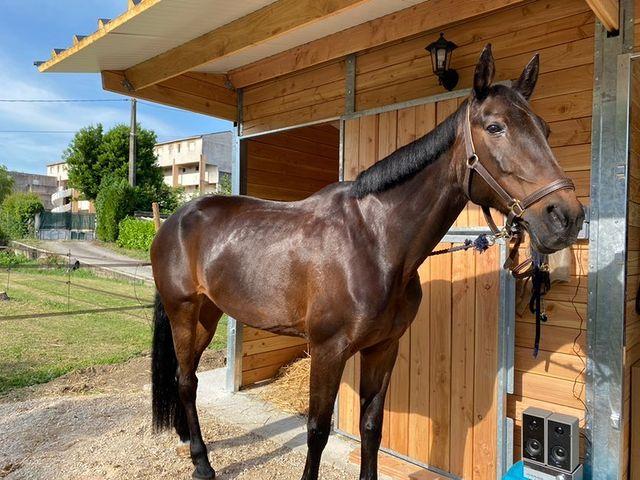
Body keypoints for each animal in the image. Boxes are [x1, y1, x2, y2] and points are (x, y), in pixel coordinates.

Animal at [149, 44, 584, 480]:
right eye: (495, 127)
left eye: (545, 129)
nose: (566, 217)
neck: (374, 242)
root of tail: (175, 220)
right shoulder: (327, 351)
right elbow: (317, 431)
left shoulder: (384, 347)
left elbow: (371, 426)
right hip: (184, 313)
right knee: (186, 381)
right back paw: (202, 463)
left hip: (208, 315)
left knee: (185, 377)